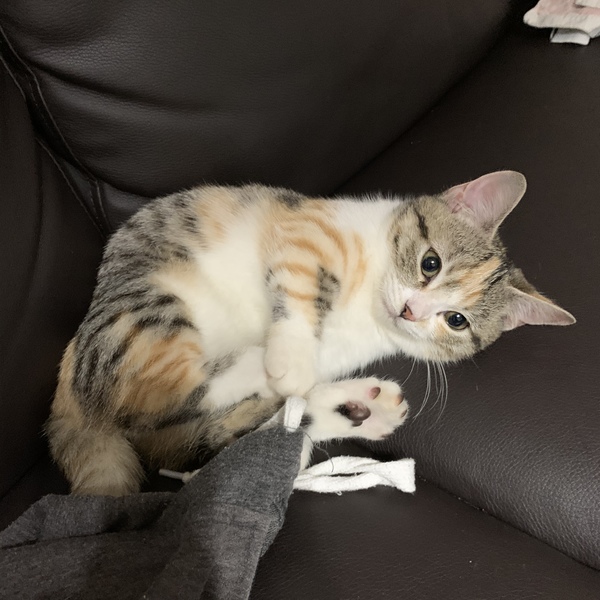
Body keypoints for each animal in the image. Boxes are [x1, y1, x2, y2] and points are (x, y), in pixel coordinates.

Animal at [47, 170, 575, 495]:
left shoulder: (348, 347)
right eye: (430, 263)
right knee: (171, 389)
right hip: (147, 306)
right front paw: (290, 358)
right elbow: (303, 287)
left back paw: (354, 410)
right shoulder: (312, 228)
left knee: (207, 434)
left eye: (457, 321)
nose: (410, 311)